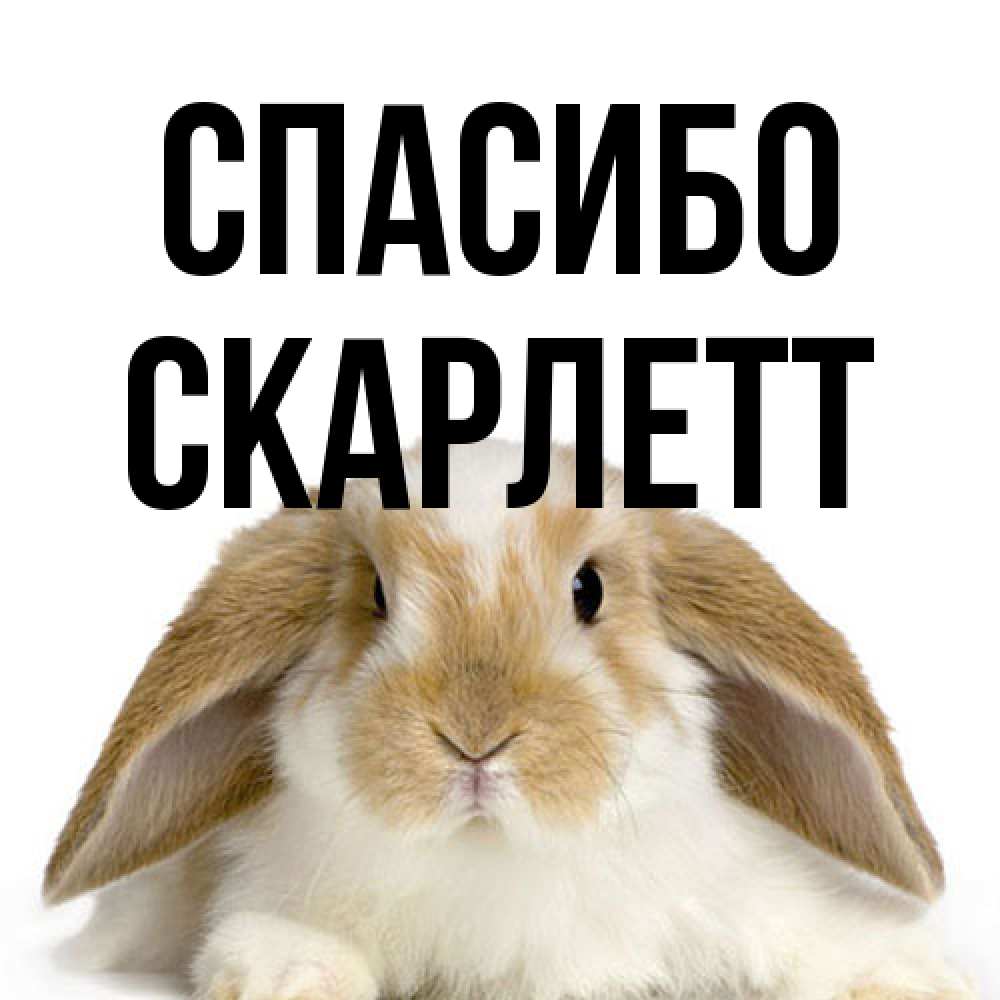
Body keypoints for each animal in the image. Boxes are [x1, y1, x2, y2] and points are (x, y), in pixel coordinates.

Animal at [45, 440, 975, 1000]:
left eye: (589, 589)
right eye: (376, 596)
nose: (475, 737)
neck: (495, 858)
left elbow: (817, 938)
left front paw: (909, 977)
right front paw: (289, 976)